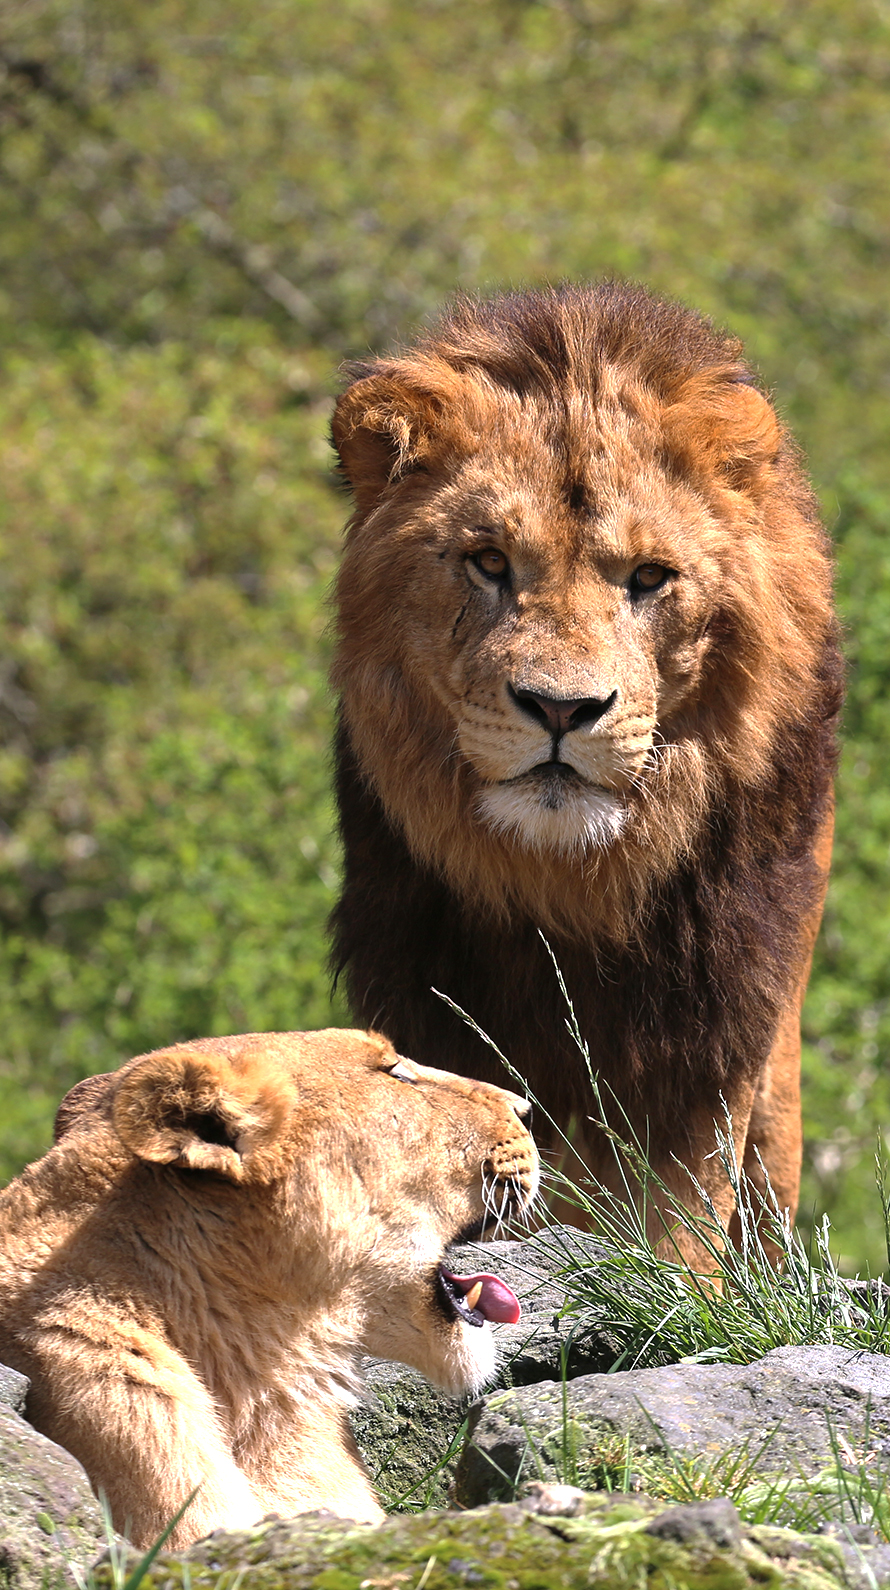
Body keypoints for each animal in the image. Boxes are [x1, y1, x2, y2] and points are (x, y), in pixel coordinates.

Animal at [332, 286, 839, 1252]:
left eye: (648, 577)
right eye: (489, 561)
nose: (562, 710)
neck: (566, 880)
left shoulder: (706, 1033)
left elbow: (679, 1224)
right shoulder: (429, 997)